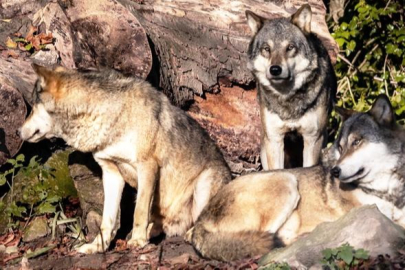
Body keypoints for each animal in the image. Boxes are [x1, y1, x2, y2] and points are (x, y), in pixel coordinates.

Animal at [20, 64, 232, 254]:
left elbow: (139, 210)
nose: (17, 131)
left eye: (32, 107)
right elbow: (108, 218)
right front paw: (98, 246)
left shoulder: (147, 166)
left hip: (203, 186)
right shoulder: (111, 173)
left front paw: (137, 241)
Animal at [186, 95, 404, 262]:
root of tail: (201, 221)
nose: (334, 171)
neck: (387, 192)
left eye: (357, 142)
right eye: (341, 147)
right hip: (287, 182)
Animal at [245, 4, 336, 169]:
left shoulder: (312, 138)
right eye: (266, 49)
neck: (287, 98)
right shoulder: (275, 138)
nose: (275, 70)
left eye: (290, 47)